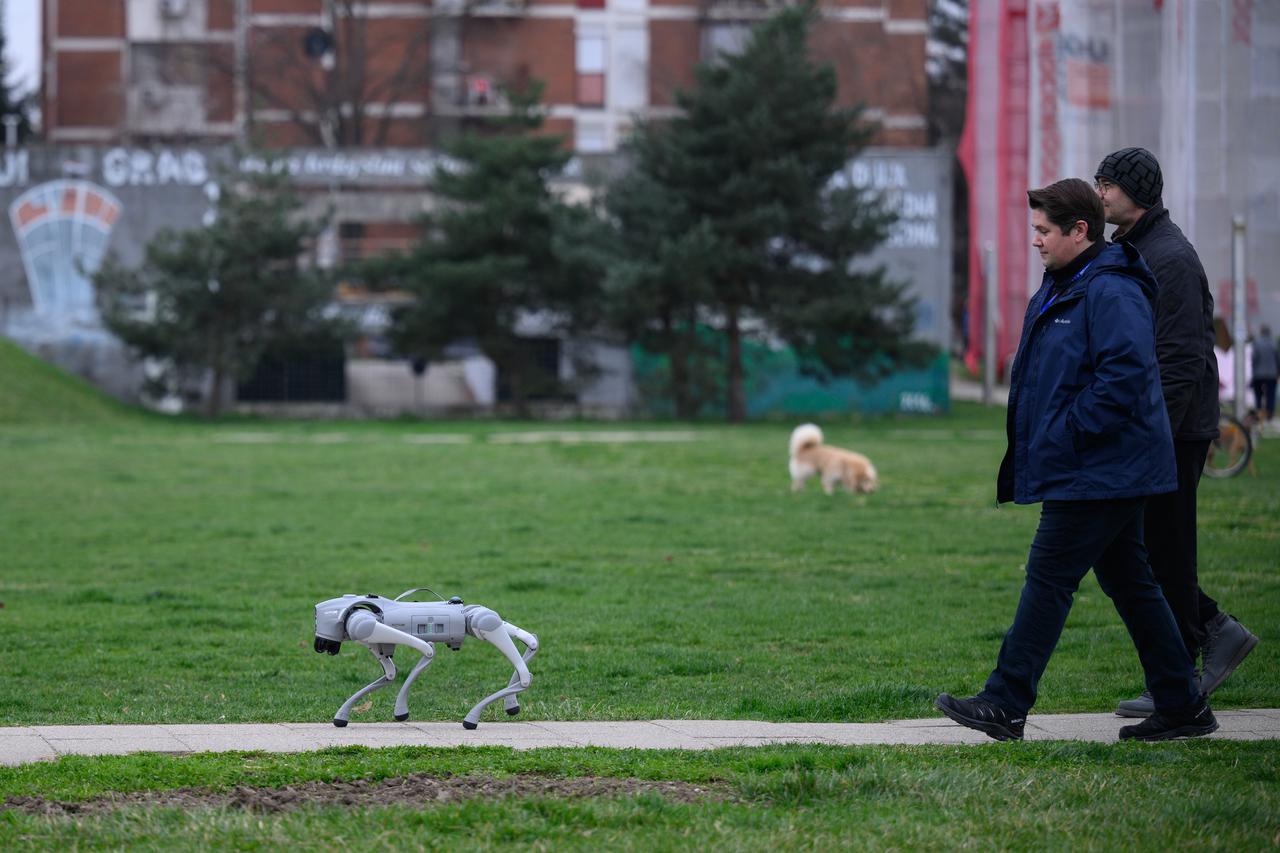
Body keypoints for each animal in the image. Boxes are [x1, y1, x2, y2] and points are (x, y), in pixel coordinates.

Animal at [312, 589, 537, 727]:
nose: (321, 645)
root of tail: (463, 610)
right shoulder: (378, 642)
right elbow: (391, 673)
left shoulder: (366, 627)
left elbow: (427, 650)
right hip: (477, 619)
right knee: (531, 642)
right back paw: (511, 704)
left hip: (482, 621)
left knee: (525, 673)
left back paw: (472, 718)